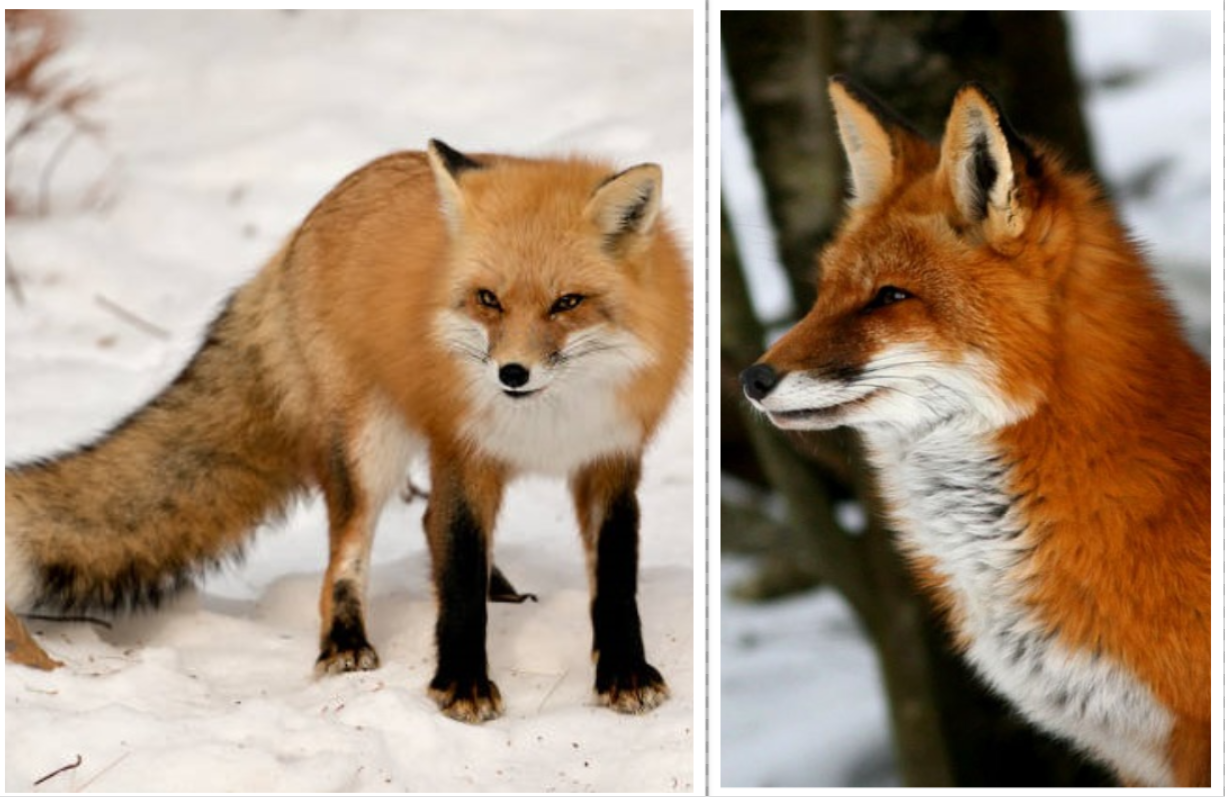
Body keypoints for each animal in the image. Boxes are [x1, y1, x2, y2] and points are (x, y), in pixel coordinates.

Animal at [6, 139, 692, 723]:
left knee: (426, 524)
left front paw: (625, 674)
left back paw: (500, 591)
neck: (549, 420)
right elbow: (459, 582)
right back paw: (343, 644)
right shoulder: (463, 453)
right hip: (369, 450)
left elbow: (614, 582)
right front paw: (462, 685)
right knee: (347, 555)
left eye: (567, 302)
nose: (512, 373)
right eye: (488, 299)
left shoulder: (610, 459)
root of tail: (306, 223)